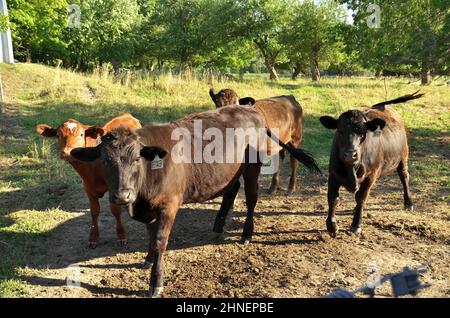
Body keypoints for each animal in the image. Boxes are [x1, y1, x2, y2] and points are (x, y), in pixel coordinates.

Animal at [35, 113, 142, 247]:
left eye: (81, 134)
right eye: (58, 135)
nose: (67, 152)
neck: (92, 166)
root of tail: (126, 115)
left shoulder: (113, 187)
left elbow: (115, 210)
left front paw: (121, 236)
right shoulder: (88, 188)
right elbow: (94, 211)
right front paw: (93, 237)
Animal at [318, 91, 424, 236]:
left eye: (362, 133)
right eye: (340, 131)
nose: (350, 155)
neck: (351, 169)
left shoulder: (371, 176)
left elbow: (361, 198)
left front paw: (356, 225)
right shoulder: (333, 174)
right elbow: (333, 198)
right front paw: (332, 226)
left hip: (403, 158)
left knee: (404, 177)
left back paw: (408, 203)